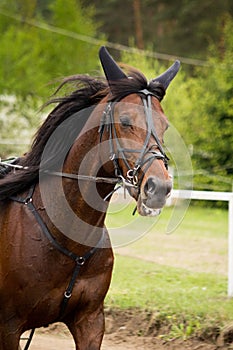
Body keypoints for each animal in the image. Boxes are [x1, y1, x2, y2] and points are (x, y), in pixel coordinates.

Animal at [0, 46, 180, 350]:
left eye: (165, 126)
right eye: (125, 121)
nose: (159, 188)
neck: (68, 236)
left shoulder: (91, 320)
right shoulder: (9, 327)